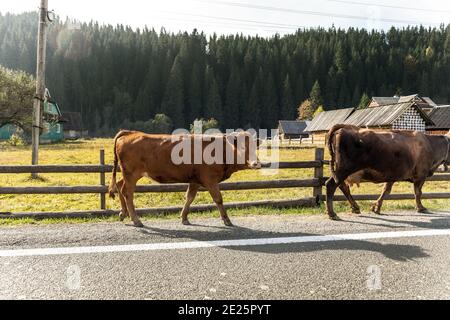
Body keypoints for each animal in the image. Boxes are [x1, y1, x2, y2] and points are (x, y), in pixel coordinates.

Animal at [107, 130, 260, 228]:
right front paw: (226, 220)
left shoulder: (194, 180)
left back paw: (123, 213)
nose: (256, 163)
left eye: (255, 147)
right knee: (128, 193)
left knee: (120, 186)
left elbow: (189, 197)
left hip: (129, 174)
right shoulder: (210, 180)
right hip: (131, 174)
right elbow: (218, 199)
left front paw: (184, 217)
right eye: (242, 147)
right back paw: (136, 220)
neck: (221, 150)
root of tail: (131, 133)